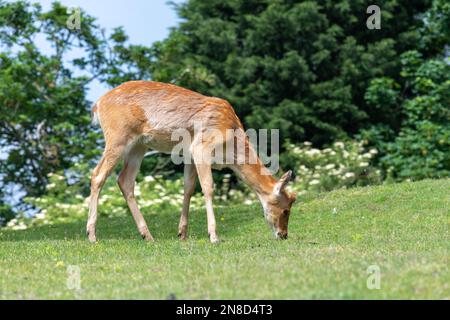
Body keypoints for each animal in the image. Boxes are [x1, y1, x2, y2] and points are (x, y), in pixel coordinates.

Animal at [88, 81, 298, 244]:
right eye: (286, 209)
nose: (284, 235)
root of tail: (97, 104)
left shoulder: (189, 155)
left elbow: (188, 188)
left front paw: (182, 233)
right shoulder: (201, 147)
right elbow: (208, 187)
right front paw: (213, 236)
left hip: (139, 145)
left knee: (125, 180)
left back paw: (147, 235)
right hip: (118, 136)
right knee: (97, 174)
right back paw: (92, 235)